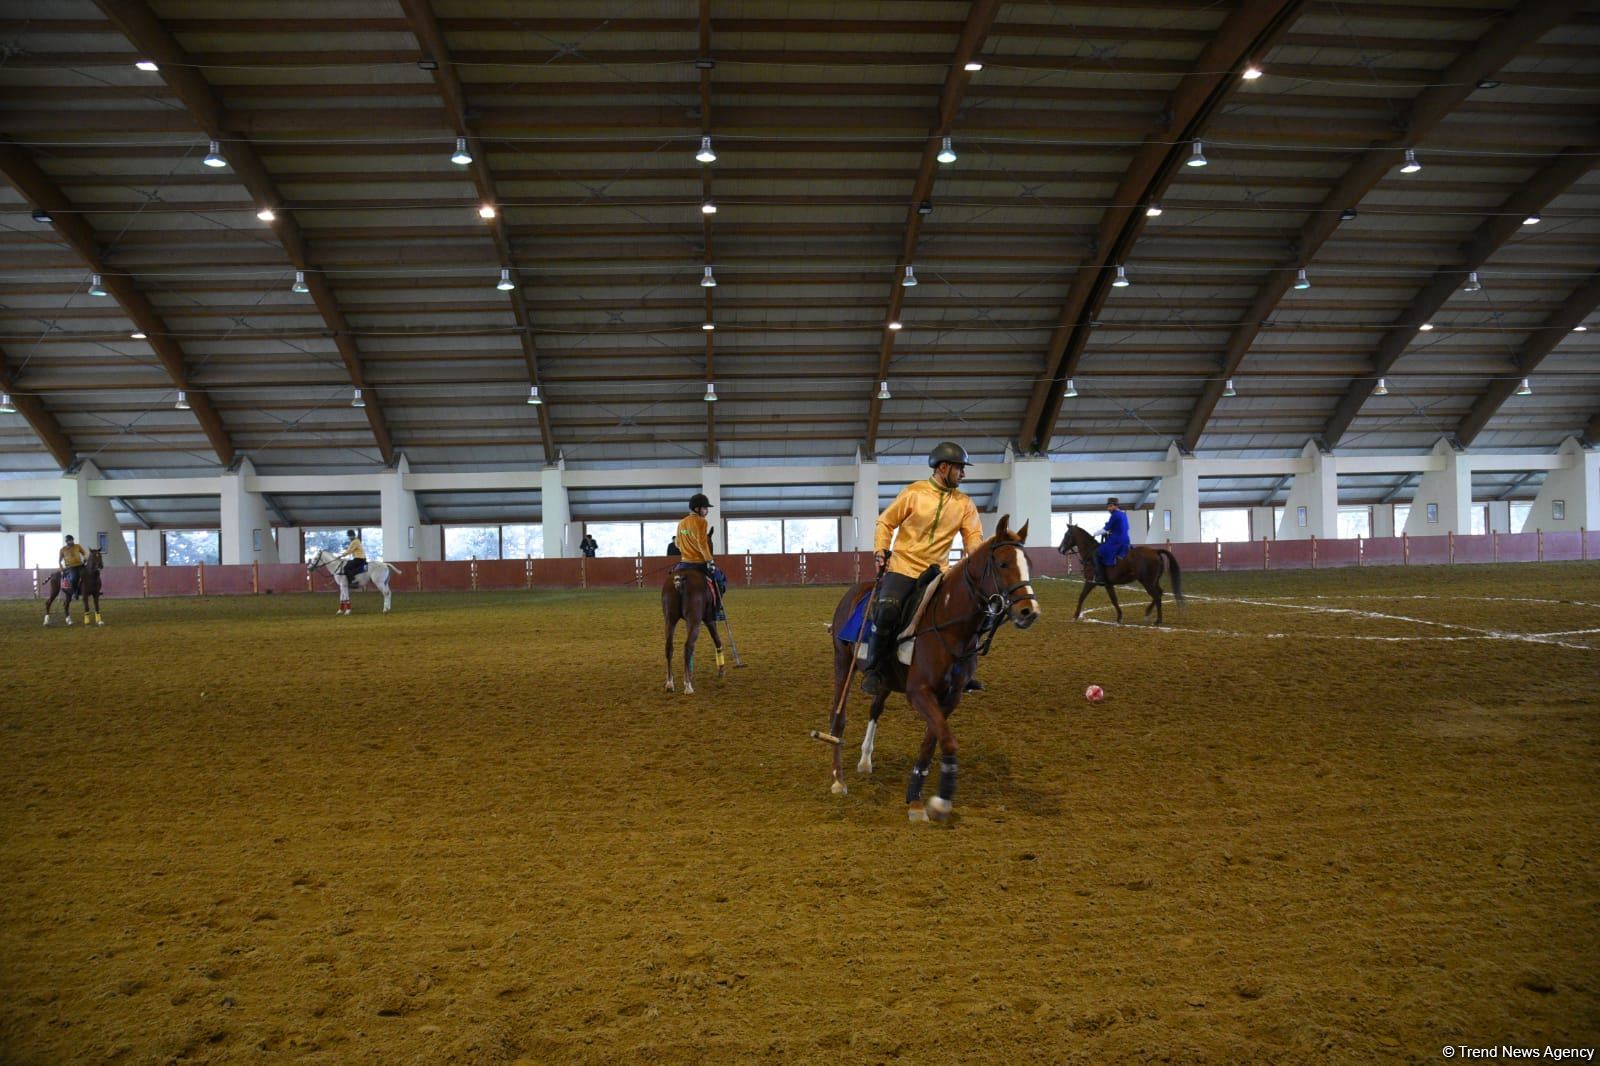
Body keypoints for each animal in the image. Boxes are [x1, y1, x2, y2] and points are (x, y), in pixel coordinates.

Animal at [819, 515, 1043, 819]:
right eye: (1003, 563)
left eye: (1028, 563)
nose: (1028, 611)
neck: (951, 627)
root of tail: (855, 591)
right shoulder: (919, 692)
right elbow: (946, 740)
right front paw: (941, 799)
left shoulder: (950, 697)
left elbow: (931, 741)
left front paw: (916, 797)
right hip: (843, 661)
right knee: (838, 716)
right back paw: (837, 780)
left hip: (887, 678)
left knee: (875, 707)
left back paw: (865, 760)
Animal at [1056, 521, 1184, 624]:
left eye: (1067, 535)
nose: (1059, 549)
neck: (1090, 554)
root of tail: (1155, 551)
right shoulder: (1108, 584)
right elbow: (1114, 600)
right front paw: (1119, 617)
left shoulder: (1090, 582)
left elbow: (1081, 597)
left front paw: (1075, 616)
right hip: (1153, 581)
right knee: (1160, 593)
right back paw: (1148, 613)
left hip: (1147, 582)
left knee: (1157, 596)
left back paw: (1158, 620)